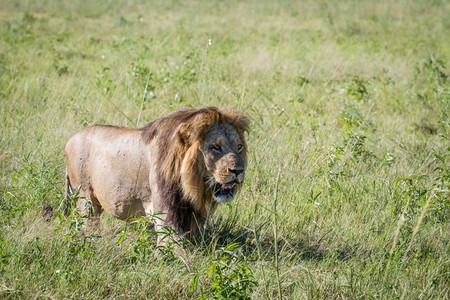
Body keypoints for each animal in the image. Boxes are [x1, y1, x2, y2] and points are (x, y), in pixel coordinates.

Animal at [63, 106, 248, 243]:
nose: (239, 171)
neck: (189, 184)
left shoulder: (190, 215)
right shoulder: (166, 214)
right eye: (215, 147)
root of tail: (70, 139)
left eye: (239, 147)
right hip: (85, 199)